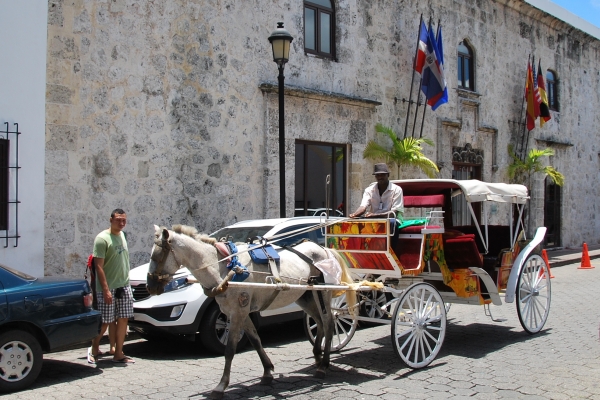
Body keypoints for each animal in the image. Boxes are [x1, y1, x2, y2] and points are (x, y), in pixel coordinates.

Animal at [147, 223, 356, 398]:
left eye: (157, 256)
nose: (150, 286)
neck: (222, 267)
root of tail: (324, 249)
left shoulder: (238, 312)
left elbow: (230, 349)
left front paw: (221, 385)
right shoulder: (239, 311)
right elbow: (256, 340)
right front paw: (267, 371)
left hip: (323, 293)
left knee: (329, 323)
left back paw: (324, 365)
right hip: (305, 296)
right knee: (319, 322)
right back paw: (317, 357)